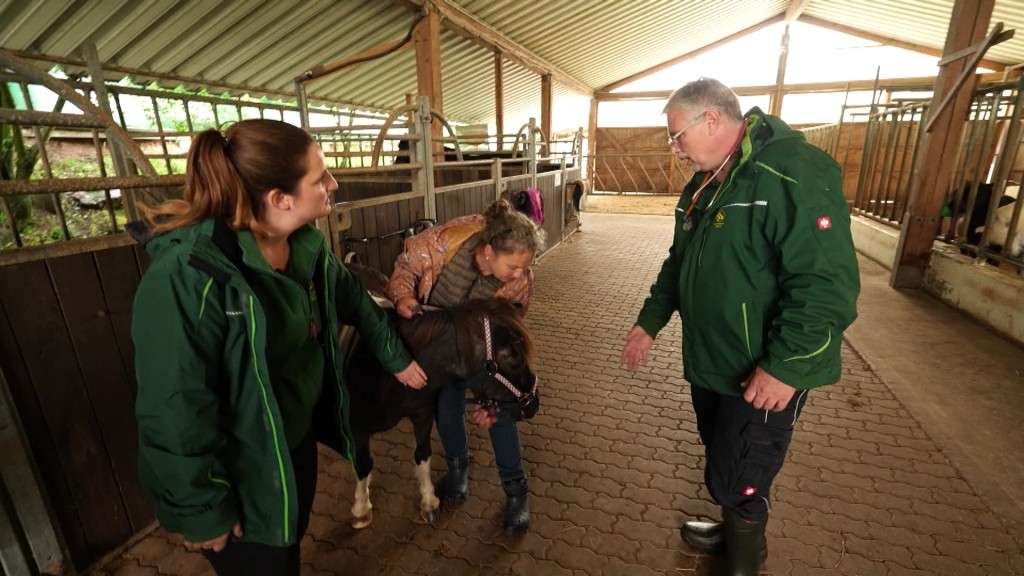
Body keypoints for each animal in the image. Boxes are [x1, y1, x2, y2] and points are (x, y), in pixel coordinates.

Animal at [342, 262, 540, 528]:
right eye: (511, 357)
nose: (533, 403)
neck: (391, 368)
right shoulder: (357, 430)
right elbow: (363, 465)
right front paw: (361, 509)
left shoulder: (423, 414)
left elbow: (422, 455)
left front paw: (429, 502)